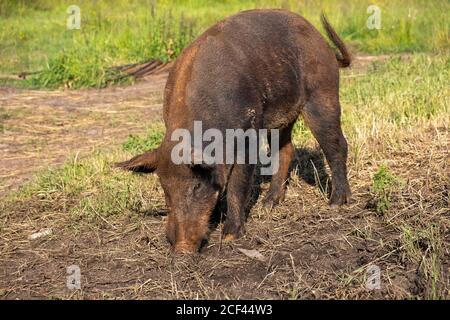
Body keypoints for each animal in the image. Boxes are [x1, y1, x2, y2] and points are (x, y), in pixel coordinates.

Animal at [115, 9, 352, 252]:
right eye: (165, 187)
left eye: (196, 186)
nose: (181, 248)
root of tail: (320, 39)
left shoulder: (248, 135)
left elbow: (237, 184)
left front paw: (229, 236)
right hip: (281, 119)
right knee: (286, 150)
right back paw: (268, 205)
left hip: (323, 93)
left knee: (337, 144)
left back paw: (336, 203)